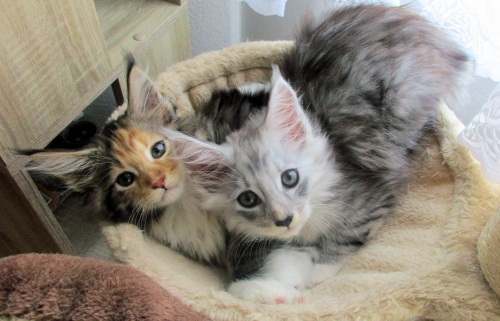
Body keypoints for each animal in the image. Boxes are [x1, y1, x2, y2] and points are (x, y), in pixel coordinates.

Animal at [165, 5, 472, 304]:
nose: (284, 219)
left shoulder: (374, 193)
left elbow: (347, 235)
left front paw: (320, 269)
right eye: (248, 199)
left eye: (290, 178)